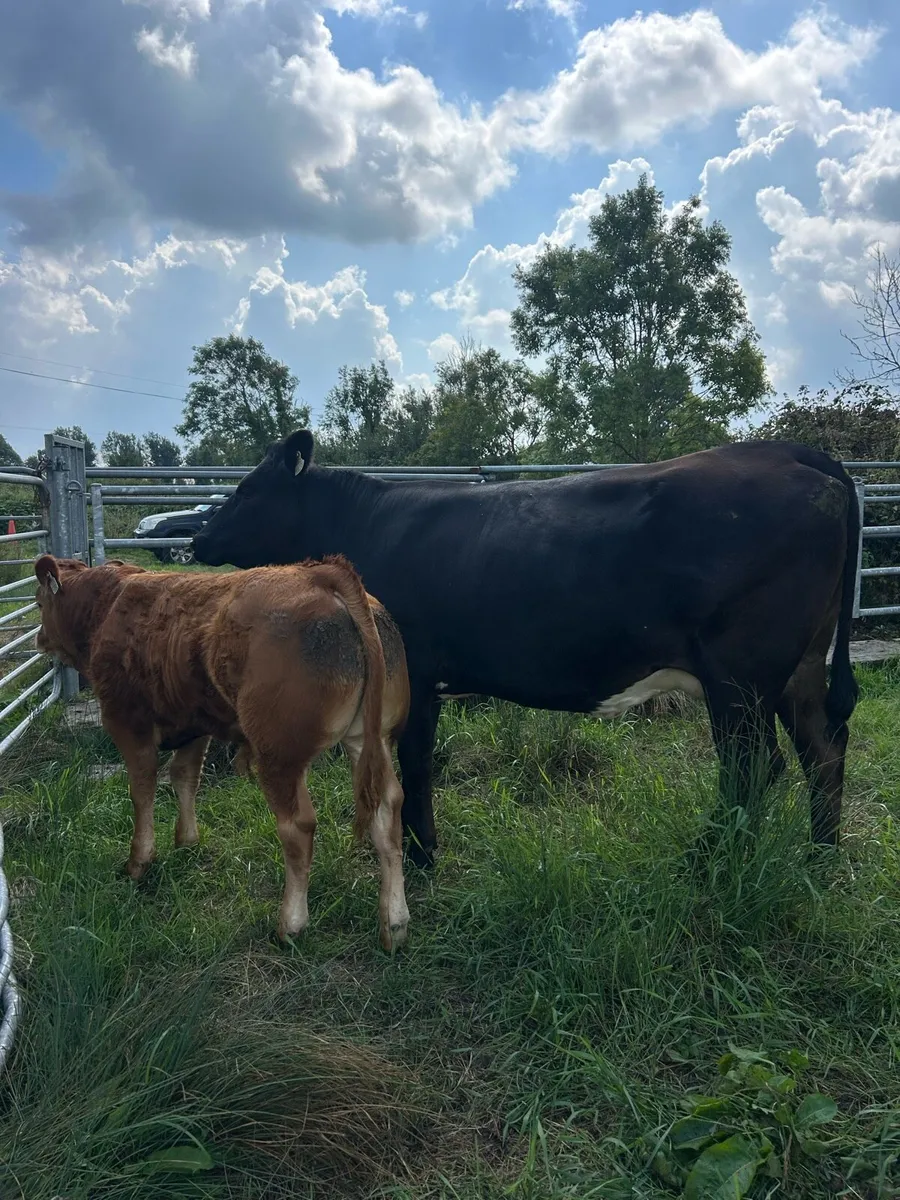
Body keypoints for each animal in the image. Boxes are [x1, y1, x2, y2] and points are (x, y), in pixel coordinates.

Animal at [33, 553, 411, 951]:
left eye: (39, 603)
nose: (40, 639)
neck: (107, 607)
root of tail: (321, 573)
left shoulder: (127, 722)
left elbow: (142, 790)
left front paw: (139, 862)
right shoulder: (194, 724)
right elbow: (184, 777)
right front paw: (186, 842)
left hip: (278, 755)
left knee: (298, 827)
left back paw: (291, 924)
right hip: (371, 740)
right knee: (388, 812)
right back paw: (394, 924)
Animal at [192, 432, 861, 866]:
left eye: (246, 489)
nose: (197, 538)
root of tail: (784, 449)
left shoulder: (414, 673)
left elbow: (414, 763)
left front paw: (421, 855)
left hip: (738, 675)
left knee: (755, 765)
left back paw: (711, 857)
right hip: (799, 666)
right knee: (821, 750)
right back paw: (819, 858)